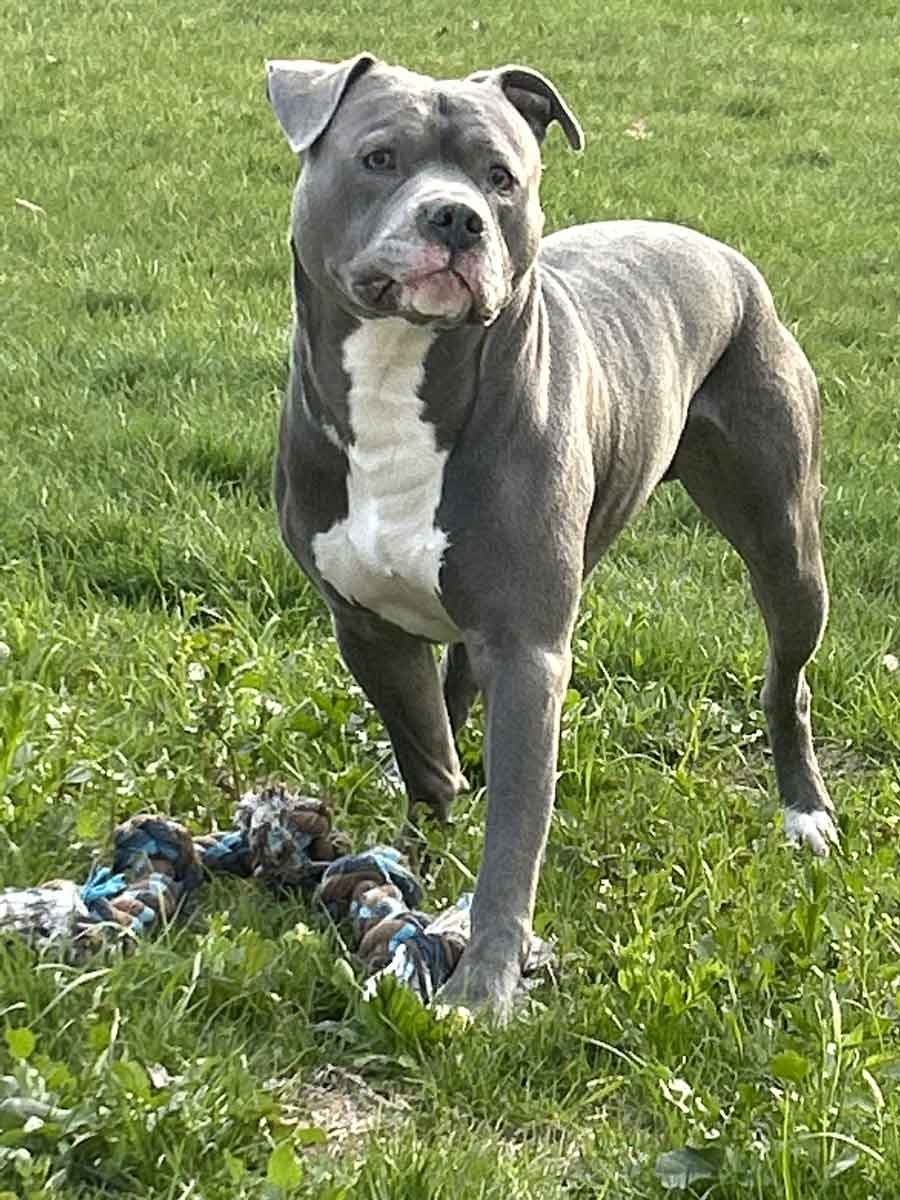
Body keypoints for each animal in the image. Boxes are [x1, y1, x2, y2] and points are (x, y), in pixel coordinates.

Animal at [266, 54, 840, 1012]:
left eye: (501, 177)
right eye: (379, 157)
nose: (455, 216)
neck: (398, 378)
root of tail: (721, 254)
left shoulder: (530, 650)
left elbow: (514, 830)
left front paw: (482, 987)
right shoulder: (367, 627)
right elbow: (426, 748)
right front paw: (416, 855)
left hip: (784, 539)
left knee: (786, 677)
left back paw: (805, 811)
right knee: (456, 696)